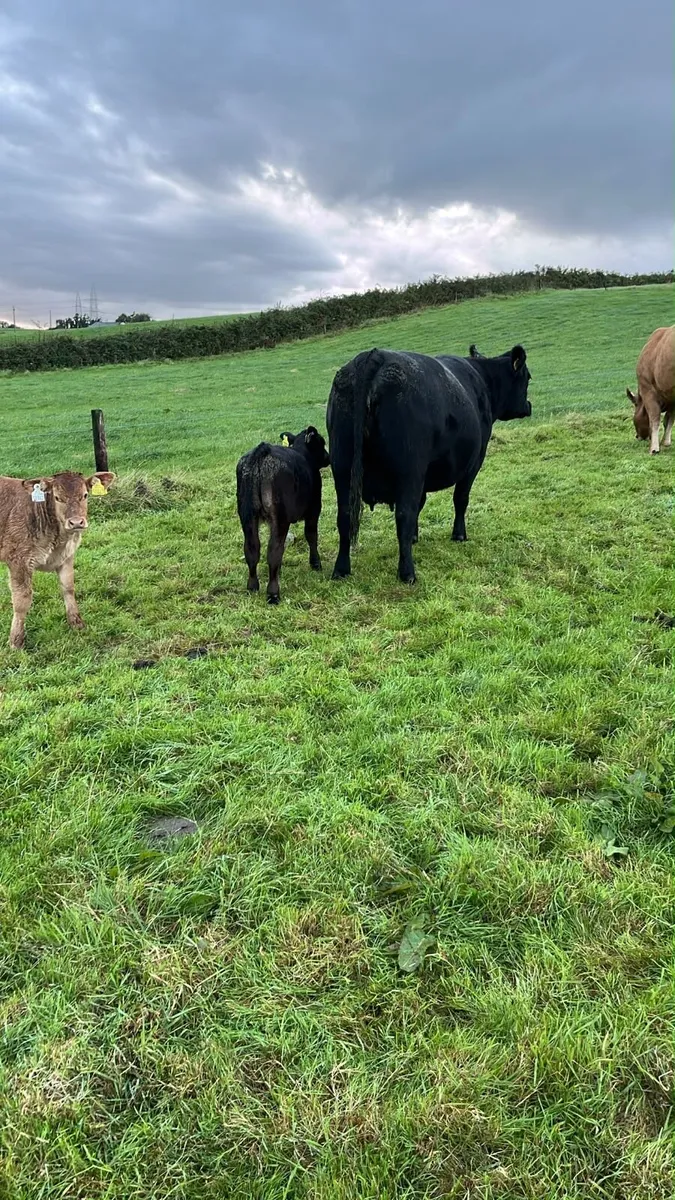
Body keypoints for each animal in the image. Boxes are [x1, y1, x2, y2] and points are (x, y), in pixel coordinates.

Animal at [0, 469, 115, 649]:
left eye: (85, 495)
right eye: (57, 497)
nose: (76, 522)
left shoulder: (67, 557)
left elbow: (68, 587)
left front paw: (77, 624)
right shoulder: (18, 560)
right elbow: (22, 600)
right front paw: (16, 642)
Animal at [236, 427, 330, 604]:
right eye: (321, 442)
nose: (328, 457)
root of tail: (262, 452)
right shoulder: (314, 509)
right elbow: (311, 536)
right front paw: (316, 564)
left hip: (247, 516)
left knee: (252, 549)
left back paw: (252, 587)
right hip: (280, 518)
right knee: (274, 550)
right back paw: (273, 594)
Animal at [327, 343, 532, 583]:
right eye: (528, 378)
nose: (528, 405)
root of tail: (376, 355)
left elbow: (421, 503)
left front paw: (416, 537)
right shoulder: (473, 463)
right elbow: (460, 499)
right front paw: (459, 535)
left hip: (342, 467)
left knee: (345, 517)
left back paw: (341, 570)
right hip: (408, 470)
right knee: (403, 515)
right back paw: (408, 573)